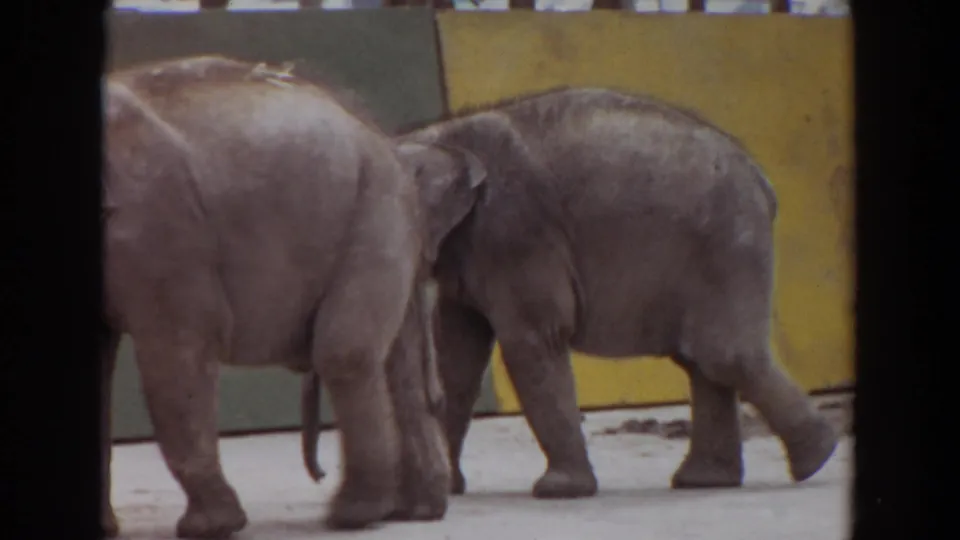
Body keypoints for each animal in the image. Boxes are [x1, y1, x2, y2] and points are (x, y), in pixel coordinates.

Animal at [101, 55, 485, 538]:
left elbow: (178, 349)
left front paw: (209, 528)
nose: (317, 474)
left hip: (375, 209)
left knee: (345, 353)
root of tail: (381, 137)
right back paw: (413, 511)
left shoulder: (162, 225)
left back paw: (352, 514)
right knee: (397, 361)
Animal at [388, 87, 840, 499]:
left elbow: (532, 340)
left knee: (723, 355)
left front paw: (559, 491)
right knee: (702, 359)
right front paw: (451, 490)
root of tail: (762, 180)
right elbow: (458, 356)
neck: (439, 136)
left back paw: (816, 459)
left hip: (729, 242)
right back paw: (708, 480)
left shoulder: (515, 234)